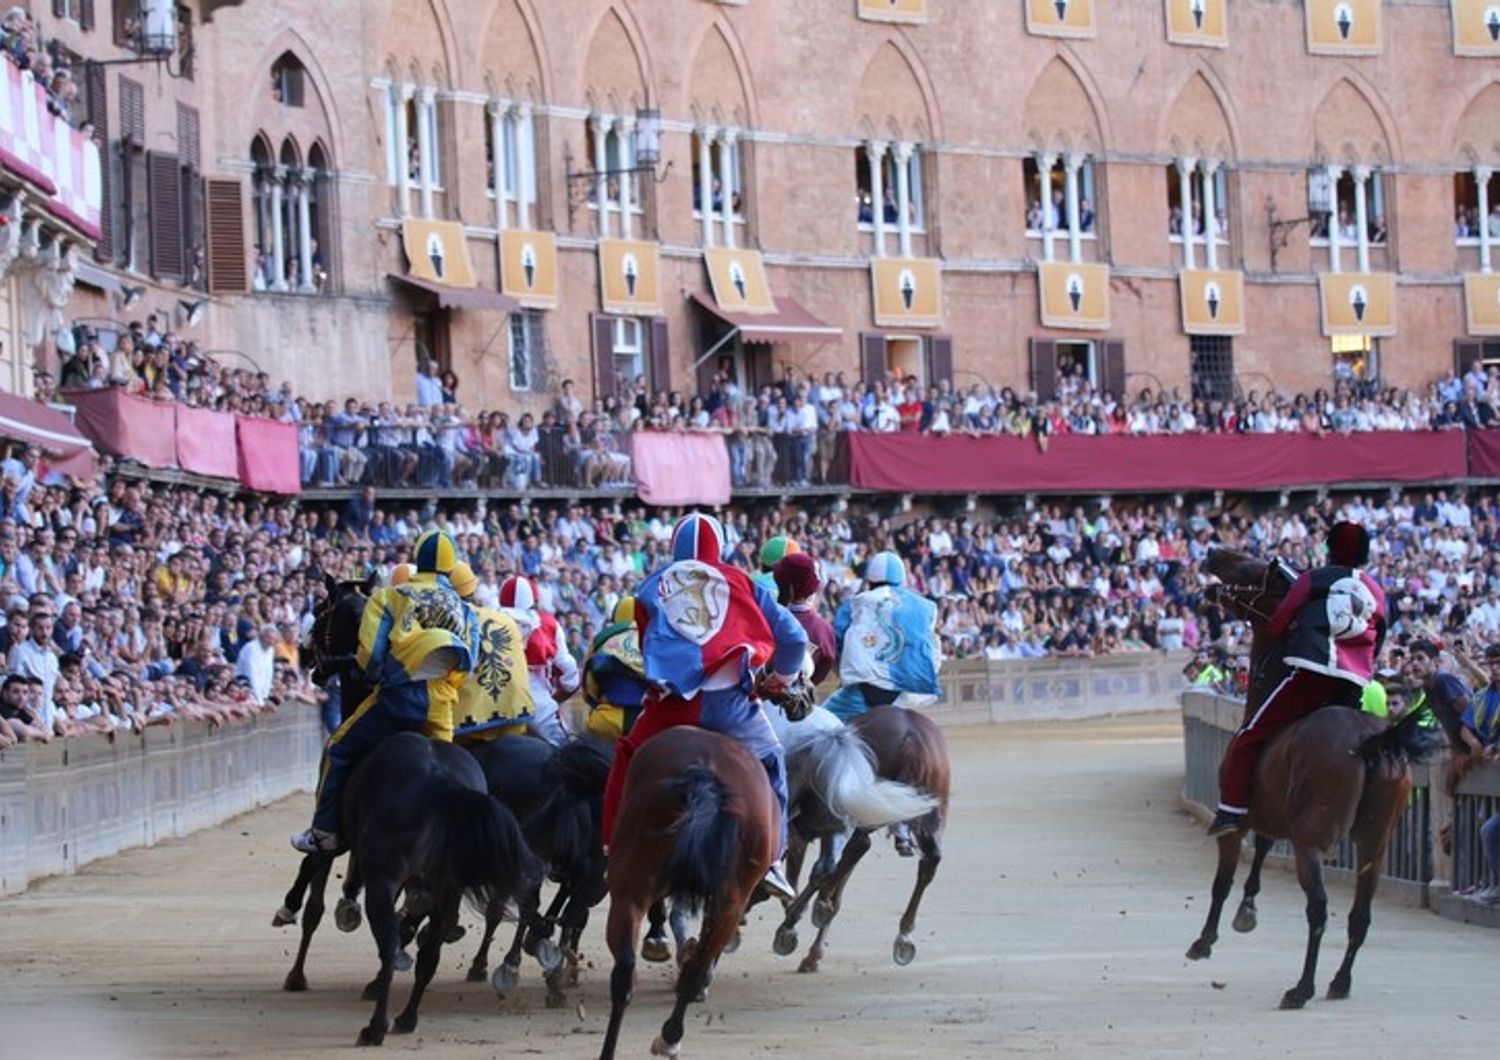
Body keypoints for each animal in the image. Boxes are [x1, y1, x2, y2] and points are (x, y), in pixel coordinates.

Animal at [597, 728, 780, 1060]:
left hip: (632, 889)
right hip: (730, 900)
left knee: (628, 971)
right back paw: (669, 1037)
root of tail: (704, 775)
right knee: (686, 970)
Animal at [774, 707, 948, 971]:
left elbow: (792, 879)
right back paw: (904, 937)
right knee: (930, 861)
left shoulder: (800, 834)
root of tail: (911, 734)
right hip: (926, 812)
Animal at [1194, 551, 1428, 1007]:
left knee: (1318, 908)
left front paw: (1204, 940)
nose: (1213, 553)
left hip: (1313, 842)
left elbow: (1222, 880)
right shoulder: (1274, 813)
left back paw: (1301, 987)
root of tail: (1373, 740)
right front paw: (1247, 910)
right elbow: (1263, 848)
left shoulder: (1240, 815)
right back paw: (1339, 982)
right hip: (1375, 843)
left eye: (1250, 569)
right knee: (1360, 915)